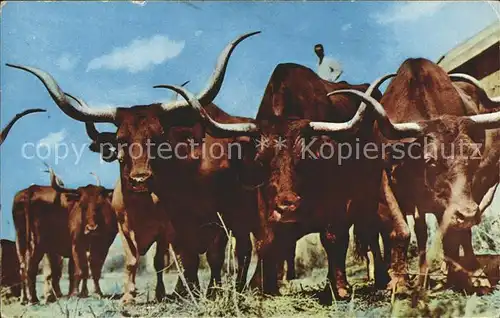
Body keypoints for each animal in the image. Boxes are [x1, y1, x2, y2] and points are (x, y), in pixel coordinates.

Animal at [13, 169, 116, 304]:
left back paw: (26, 298)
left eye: (99, 205)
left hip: (21, 241)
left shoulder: (102, 245)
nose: (91, 228)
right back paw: (35, 299)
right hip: (38, 243)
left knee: (23, 268)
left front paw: (94, 292)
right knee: (32, 268)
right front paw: (79, 293)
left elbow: (91, 269)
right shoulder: (77, 244)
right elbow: (82, 269)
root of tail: (30, 191)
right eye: (82, 206)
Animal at [328, 57, 500, 294]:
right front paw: (399, 281)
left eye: (473, 156)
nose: (467, 214)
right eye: (431, 160)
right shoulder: (386, 181)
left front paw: (471, 275)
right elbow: (401, 230)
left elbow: (456, 232)